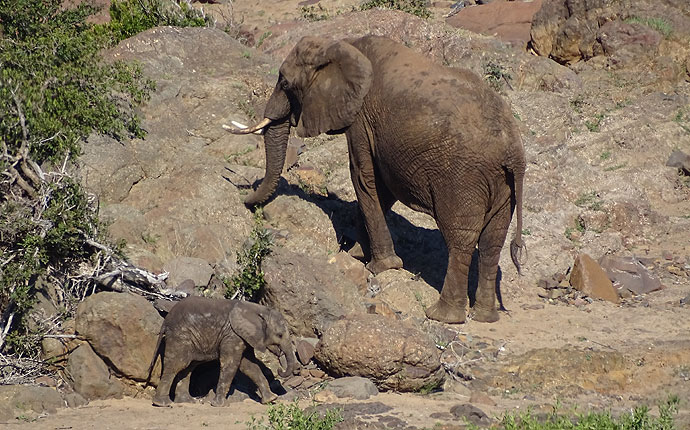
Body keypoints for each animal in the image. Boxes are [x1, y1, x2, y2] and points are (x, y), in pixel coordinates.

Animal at [145, 296, 296, 406]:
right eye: (280, 335)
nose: (280, 370)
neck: (259, 309)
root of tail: (165, 321)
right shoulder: (232, 335)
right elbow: (231, 364)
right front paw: (220, 405)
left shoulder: (243, 337)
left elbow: (249, 367)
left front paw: (271, 400)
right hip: (180, 336)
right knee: (176, 365)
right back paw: (162, 404)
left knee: (187, 368)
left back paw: (187, 402)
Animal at [228, 35, 524, 324]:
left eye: (286, 83)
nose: (246, 200)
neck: (340, 45)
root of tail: (514, 152)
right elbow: (381, 191)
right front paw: (357, 254)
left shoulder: (361, 119)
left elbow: (365, 178)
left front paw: (381, 266)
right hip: (502, 186)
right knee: (492, 242)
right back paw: (485, 317)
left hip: (463, 179)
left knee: (461, 240)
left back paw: (443, 317)